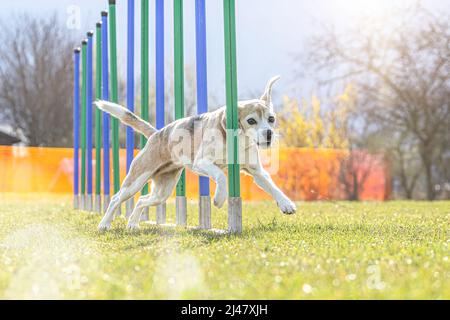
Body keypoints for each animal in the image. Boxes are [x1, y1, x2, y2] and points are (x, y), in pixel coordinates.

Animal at [94, 75, 296, 230]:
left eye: (271, 119)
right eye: (251, 121)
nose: (268, 134)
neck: (238, 139)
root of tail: (156, 133)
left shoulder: (257, 172)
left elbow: (273, 186)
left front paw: (286, 203)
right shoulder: (203, 162)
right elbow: (221, 177)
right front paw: (219, 199)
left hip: (163, 192)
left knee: (142, 200)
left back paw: (133, 223)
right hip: (136, 180)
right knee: (116, 198)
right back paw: (104, 224)